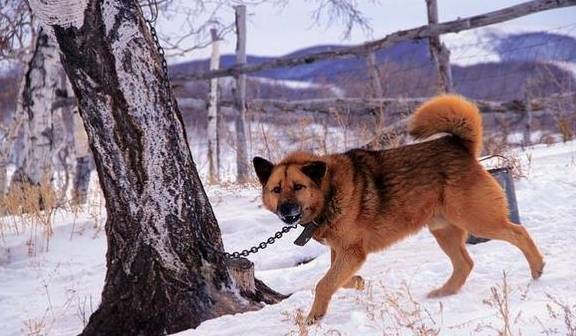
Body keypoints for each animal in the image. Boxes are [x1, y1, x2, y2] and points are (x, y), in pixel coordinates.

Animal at [252, 94, 544, 322]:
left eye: (298, 187)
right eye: (276, 190)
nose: (286, 211)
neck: (329, 191)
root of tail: (458, 145)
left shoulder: (352, 252)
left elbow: (324, 284)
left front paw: (313, 318)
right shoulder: (344, 253)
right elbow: (339, 280)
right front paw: (358, 282)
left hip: (477, 220)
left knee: (518, 232)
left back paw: (537, 269)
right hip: (443, 230)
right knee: (465, 263)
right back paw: (444, 292)